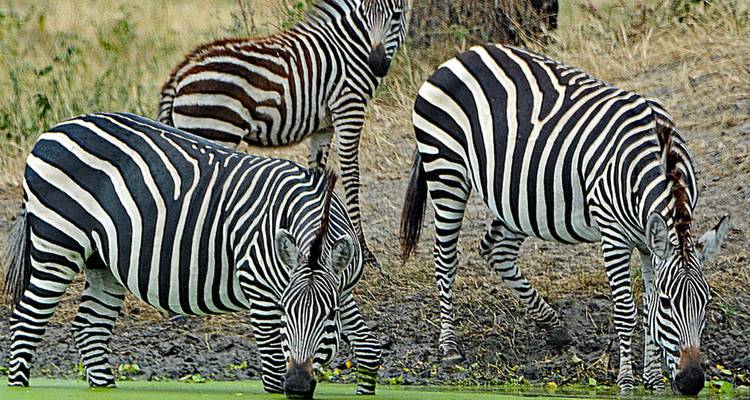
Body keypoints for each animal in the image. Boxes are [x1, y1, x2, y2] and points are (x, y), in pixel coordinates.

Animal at [2, 112, 381, 398]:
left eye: (329, 315)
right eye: (287, 313)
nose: (299, 387)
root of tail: (53, 130)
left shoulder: (342, 288)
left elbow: (369, 349)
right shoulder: (260, 291)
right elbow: (274, 369)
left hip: (101, 260)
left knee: (89, 327)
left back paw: (105, 386)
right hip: (57, 243)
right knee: (27, 321)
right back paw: (19, 384)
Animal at [156, 0, 411, 267]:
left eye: (395, 16)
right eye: (364, 17)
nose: (377, 64)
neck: (351, 48)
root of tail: (181, 71)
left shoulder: (324, 126)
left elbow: (317, 173)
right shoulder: (348, 107)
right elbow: (352, 176)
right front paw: (365, 252)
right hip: (214, 129)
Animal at [399, 44, 729, 394]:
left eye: (707, 302)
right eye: (669, 304)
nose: (692, 382)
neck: (657, 153)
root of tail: (462, 55)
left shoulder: (648, 241)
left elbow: (646, 305)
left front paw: (653, 380)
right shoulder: (614, 235)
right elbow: (627, 311)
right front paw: (627, 382)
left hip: (517, 198)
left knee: (496, 249)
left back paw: (554, 326)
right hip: (446, 171)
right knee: (445, 259)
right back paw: (449, 345)